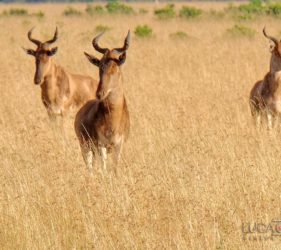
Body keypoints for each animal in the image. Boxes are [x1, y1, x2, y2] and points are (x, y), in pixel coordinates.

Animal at [75, 30, 131, 172]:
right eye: (100, 66)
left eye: (115, 66)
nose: (100, 93)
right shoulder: (101, 146)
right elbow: (104, 170)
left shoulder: (118, 146)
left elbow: (115, 169)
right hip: (85, 148)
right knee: (90, 169)